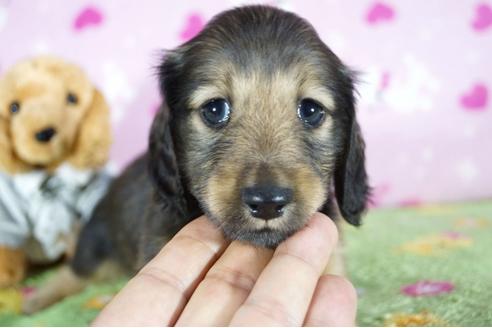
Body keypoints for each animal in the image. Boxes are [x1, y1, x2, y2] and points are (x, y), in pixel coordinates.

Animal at [24, 4, 368, 312]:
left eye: (311, 110)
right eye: (214, 109)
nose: (268, 202)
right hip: (97, 244)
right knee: (74, 271)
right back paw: (38, 299)